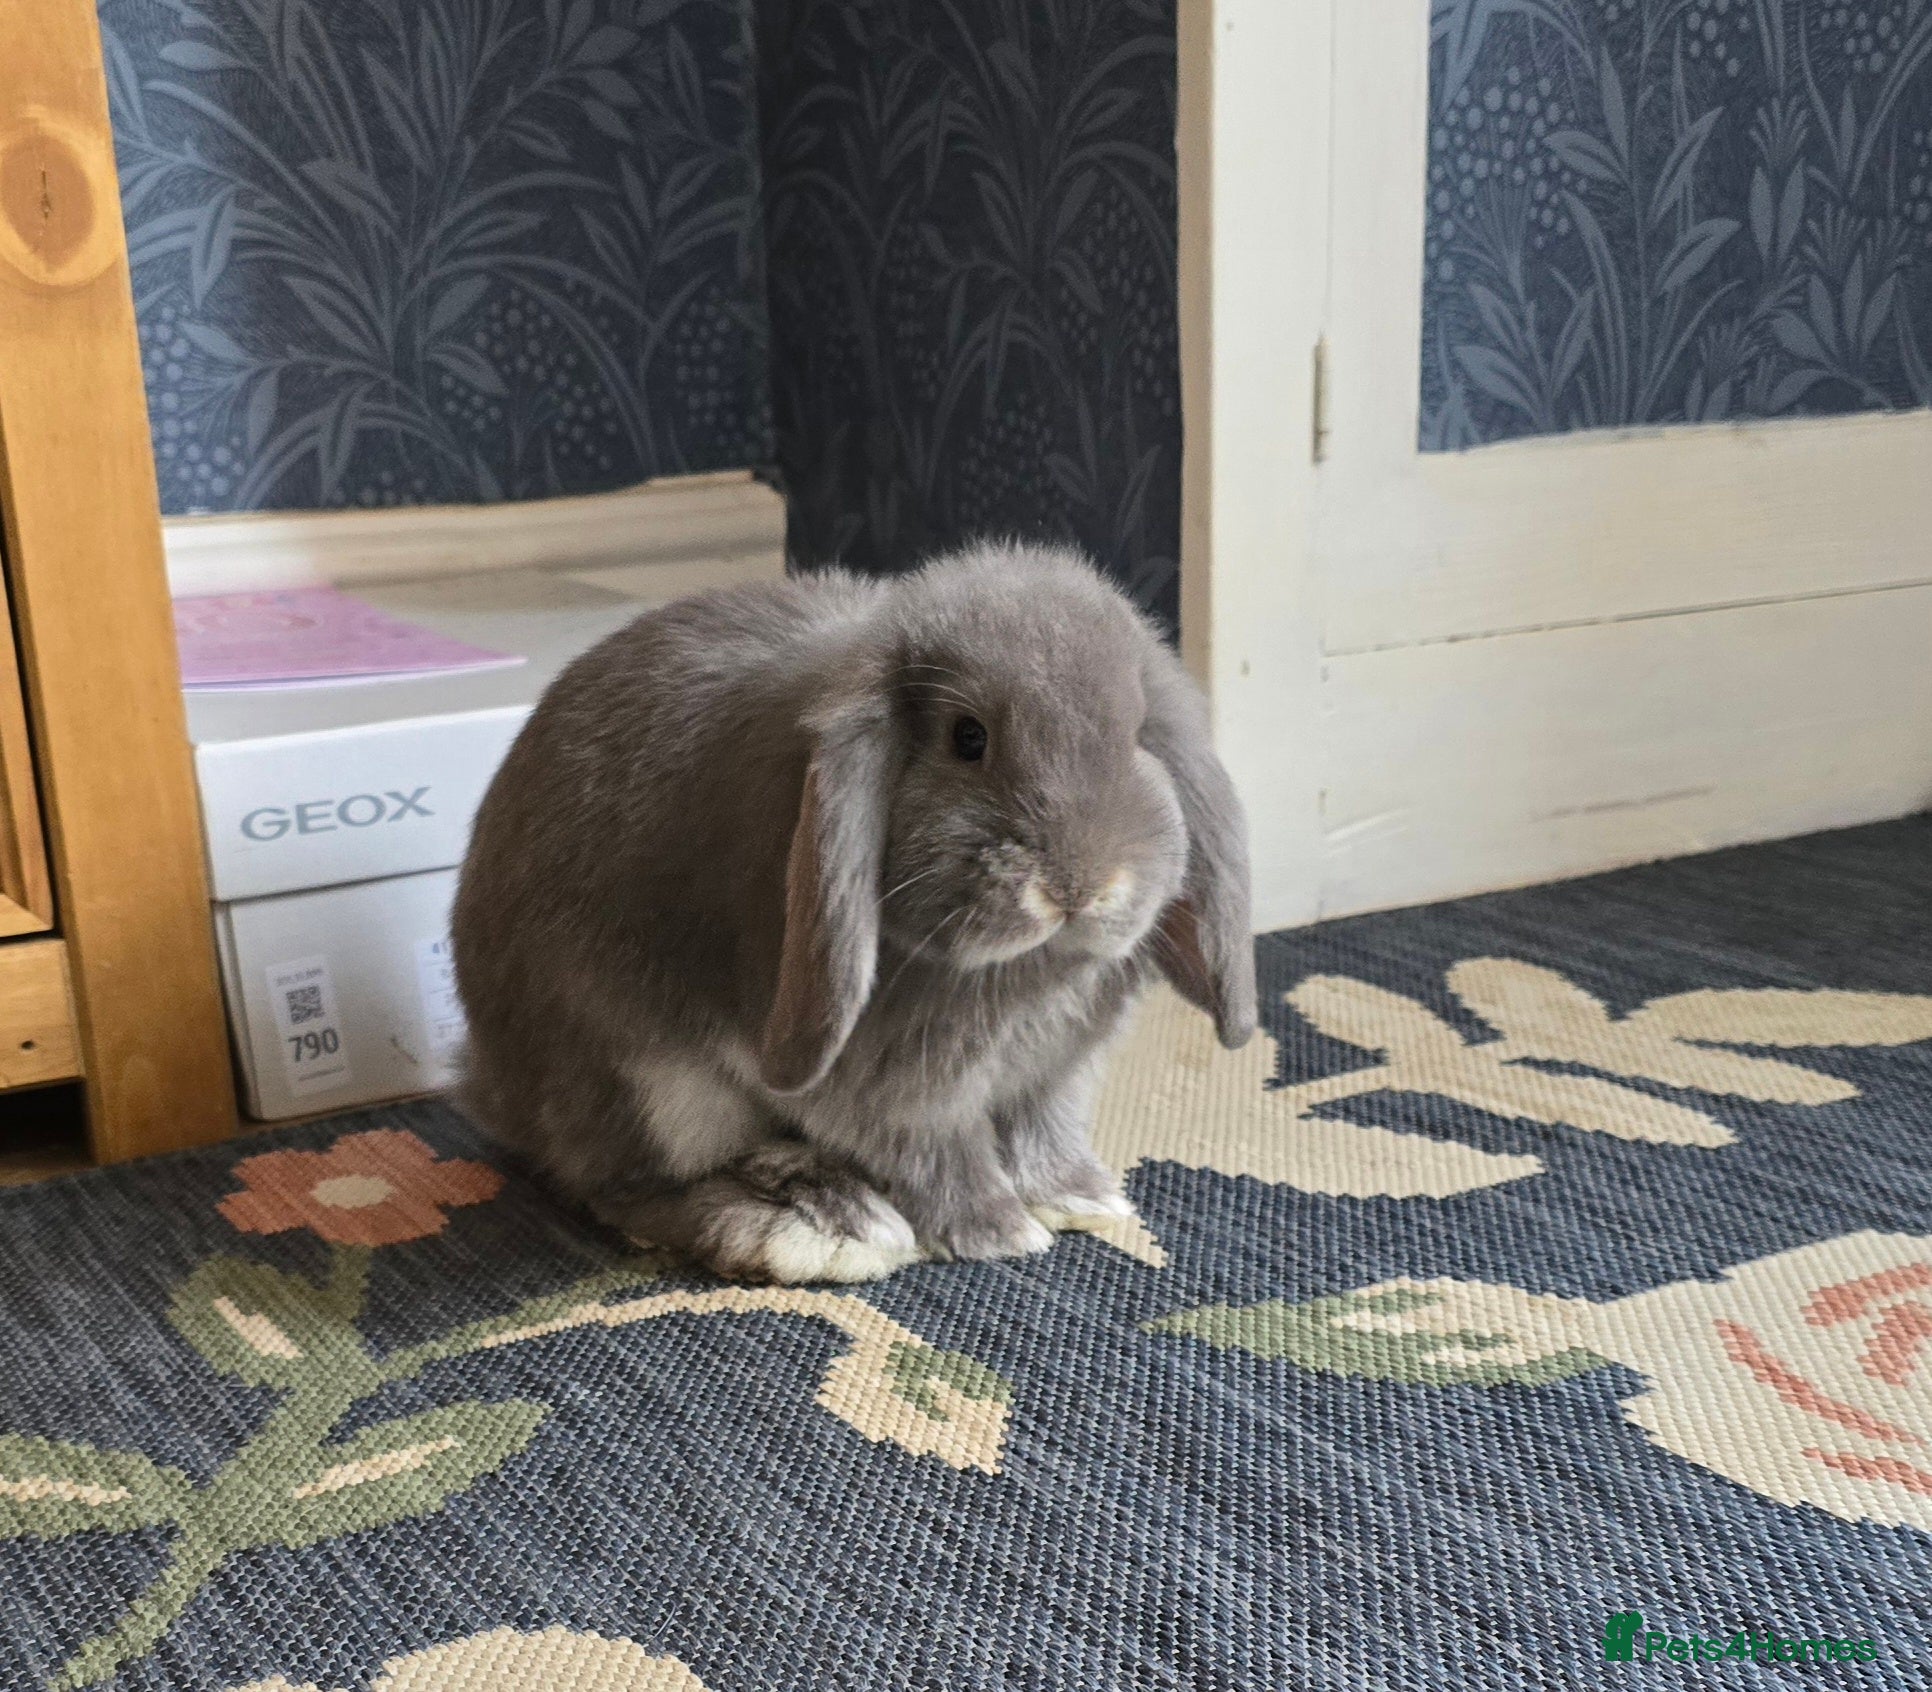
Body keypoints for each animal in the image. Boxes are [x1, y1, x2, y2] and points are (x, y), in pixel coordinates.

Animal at [451, 540, 1255, 1284]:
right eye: (968, 737)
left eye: (1138, 735)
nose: (1079, 886)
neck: (1025, 971)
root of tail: (491, 1088)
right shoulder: (893, 1093)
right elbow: (941, 1152)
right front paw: (998, 1231)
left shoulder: (1054, 1072)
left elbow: (1041, 1130)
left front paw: (1081, 1198)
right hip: (652, 1087)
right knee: (632, 1190)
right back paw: (822, 1222)